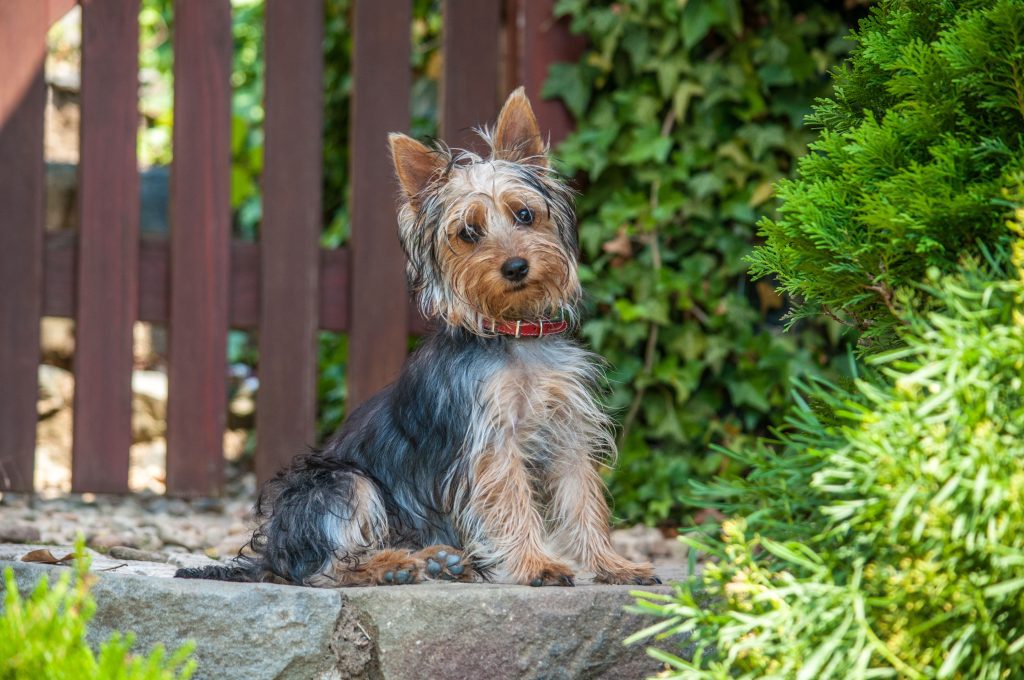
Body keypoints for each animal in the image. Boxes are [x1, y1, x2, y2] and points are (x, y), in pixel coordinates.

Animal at [176, 89, 655, 589]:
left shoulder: (567, 433)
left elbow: (583, 499)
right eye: (468, 233)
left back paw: (440, 560)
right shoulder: (490, 440)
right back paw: (393, 566)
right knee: (321, 567)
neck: (514, 333)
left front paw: (611, 565)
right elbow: (511, 500)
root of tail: (270, 553)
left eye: (524, 214)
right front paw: (536, 564)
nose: (516, 266)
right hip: (338, 484)